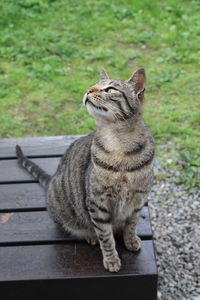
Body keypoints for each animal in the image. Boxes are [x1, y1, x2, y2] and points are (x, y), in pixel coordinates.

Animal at [16, 68, 155, 272]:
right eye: (94, 85)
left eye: (110, 89)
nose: (89, 90)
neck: (119, 145)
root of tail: (53, 179)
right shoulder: (98, 203)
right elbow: (106, 236)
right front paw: (111, 259)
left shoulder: (138, 201)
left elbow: (131, 225)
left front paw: (130, 240)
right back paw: (90, 235)